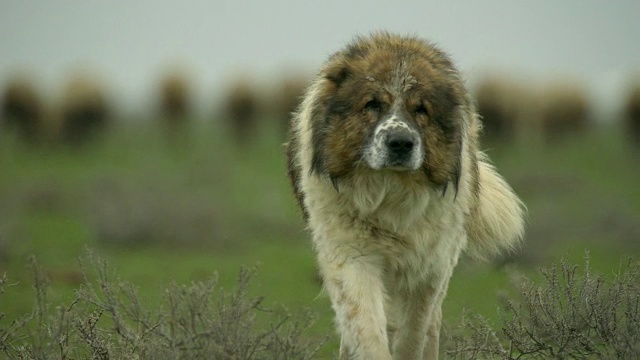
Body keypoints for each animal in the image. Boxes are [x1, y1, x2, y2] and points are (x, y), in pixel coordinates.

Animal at [286, 31, 524, 360]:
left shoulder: (429, 268)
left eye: (421, 109)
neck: (390, 196)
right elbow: (367, 330)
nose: (400, 143)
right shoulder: (352, 256)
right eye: (372, 104)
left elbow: (412, 333)